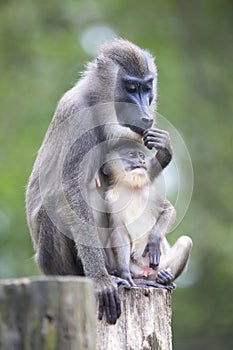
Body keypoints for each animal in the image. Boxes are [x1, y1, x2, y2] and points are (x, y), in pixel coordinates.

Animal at [26, 37, 173, 322]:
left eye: (147, 87)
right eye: (130, 88)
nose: (145, 114)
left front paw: (165, 149)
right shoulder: (78, 115)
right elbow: (71, 191)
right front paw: (100, 280)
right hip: (53, 261)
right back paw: (105, 275)